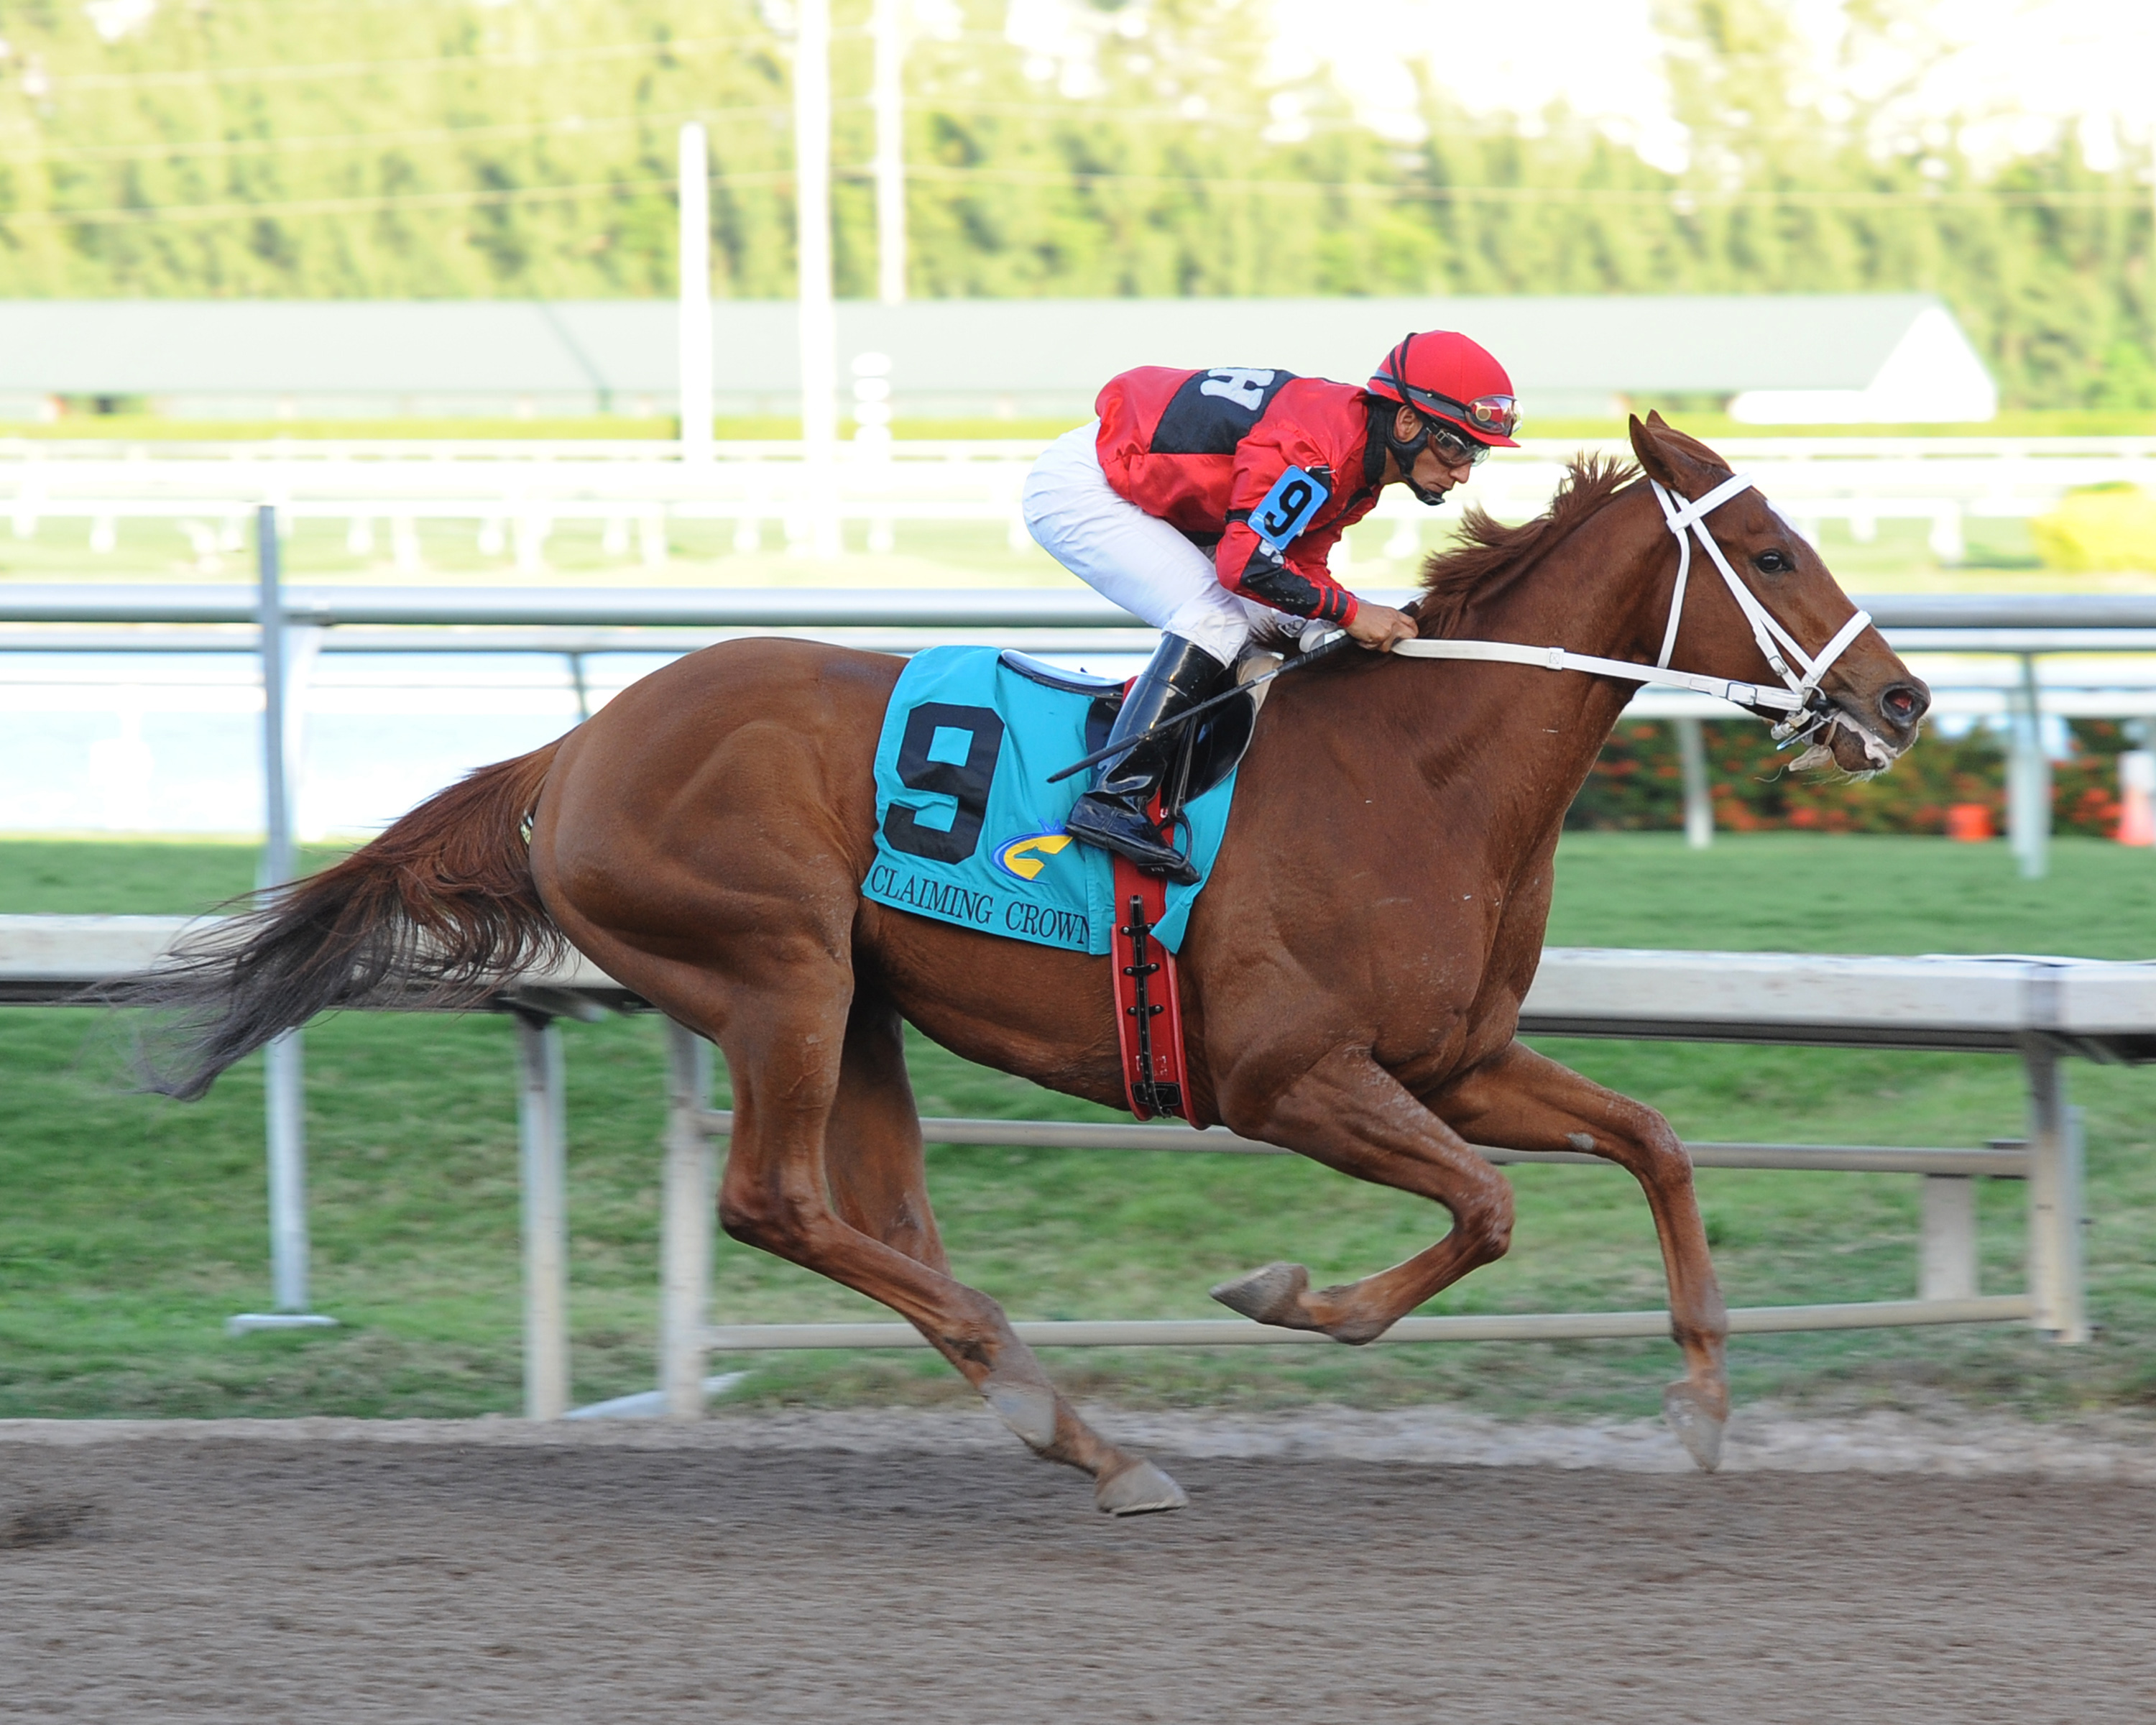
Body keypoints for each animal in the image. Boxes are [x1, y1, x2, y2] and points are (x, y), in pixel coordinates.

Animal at [130, 414, 1929, 1515]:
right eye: (1775, 553)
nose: (1903, 701)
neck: (1423, 775)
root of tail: (573, 747)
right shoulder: (1289, 1079)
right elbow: (1483, 1214)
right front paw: (1289, 1296)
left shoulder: (1455, 1063)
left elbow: (1656, 1143)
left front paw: (1703, 1409)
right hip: (776, 973)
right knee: (773, 1202)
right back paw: (1054, 1411)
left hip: (856, 1009)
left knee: (874, 1216)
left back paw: (1063, 1423)